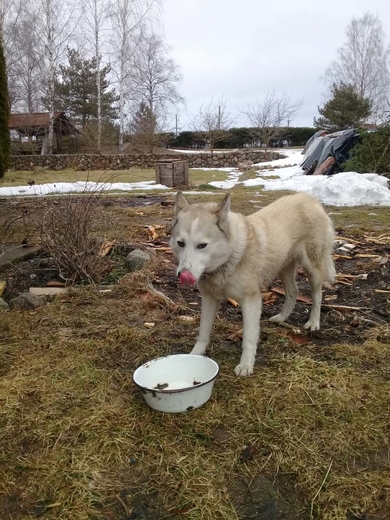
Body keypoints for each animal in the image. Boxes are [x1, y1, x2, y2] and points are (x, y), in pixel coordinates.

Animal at [170, 190, 336, 374]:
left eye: (202, 245)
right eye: (180, 243)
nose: (183, 274)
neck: (232, 256)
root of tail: (309, 198)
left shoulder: (251, 301)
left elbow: (248, 339)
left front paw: (246, 365)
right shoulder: (209, 299)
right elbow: (203, 333)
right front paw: (194, 355)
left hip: (312, 269)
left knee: (317, 295)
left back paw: (313, 322)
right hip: (284, 269)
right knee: (294, 291)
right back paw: (282, 317)